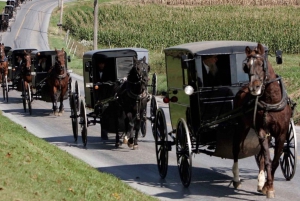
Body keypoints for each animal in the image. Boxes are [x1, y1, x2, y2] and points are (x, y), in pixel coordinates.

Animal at [232, 43, 292, 199]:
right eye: (246, 66)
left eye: (261, 64)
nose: (254, 87)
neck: (272, 100)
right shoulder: (262, 131)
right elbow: (268, 161)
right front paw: (269, 187)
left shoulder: (281, 134)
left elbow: (274, 161)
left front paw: (266, 186)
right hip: (241, 127)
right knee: (236, 149)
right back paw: (236, 179)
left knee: (261, 156)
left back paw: (260, 182)